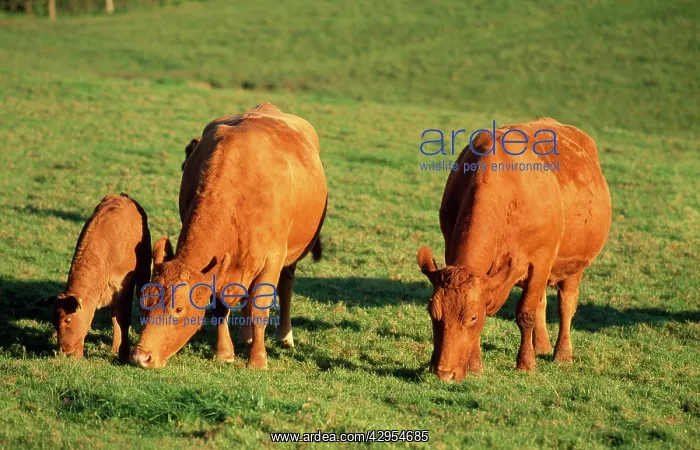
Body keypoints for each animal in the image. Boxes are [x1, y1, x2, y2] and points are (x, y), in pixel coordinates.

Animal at [47, 193, 151, 362]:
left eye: (67, 320)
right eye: (53, 320)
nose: (63, 349)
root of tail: (123, 196)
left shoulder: (125, 288)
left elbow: (123, 319)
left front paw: (124, 354)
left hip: (143, 272)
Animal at [131, 103, 328, 369]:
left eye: (179, 310)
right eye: (145, 302)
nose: (141, 356)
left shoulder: (273, 259)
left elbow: (260, 309)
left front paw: (258, 359)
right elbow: (220, 307)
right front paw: (224, 352)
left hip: (292, 254)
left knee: (286, 285)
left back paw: (284, 335)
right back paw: (245, 335)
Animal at [416, 118, 612, 381]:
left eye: (472, 317)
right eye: (432, 312)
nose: (443, 373)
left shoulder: (541, 260)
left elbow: (525, 312)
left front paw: (526, 363)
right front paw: (475, 366)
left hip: (575, 264)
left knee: (565, 304)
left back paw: (562, 354)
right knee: (542, 301)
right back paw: (542, 345)